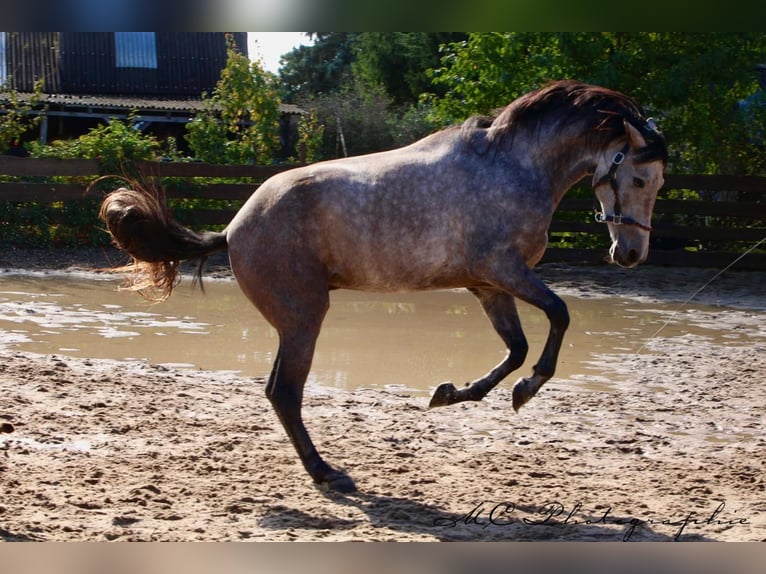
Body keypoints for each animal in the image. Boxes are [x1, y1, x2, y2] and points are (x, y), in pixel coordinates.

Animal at [99, 80, 668, 493]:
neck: (513, 167)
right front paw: (524, 392)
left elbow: (516, 347)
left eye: (658, 182)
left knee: (279, 391)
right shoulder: (506, 270)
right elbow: (558, 317)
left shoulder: (487, 285)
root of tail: (235, 227)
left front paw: (451, 394)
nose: (632, 255)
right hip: (304, 318)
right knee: (284, 392)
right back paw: (329, 474)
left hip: (297, 321)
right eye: (641, 179)